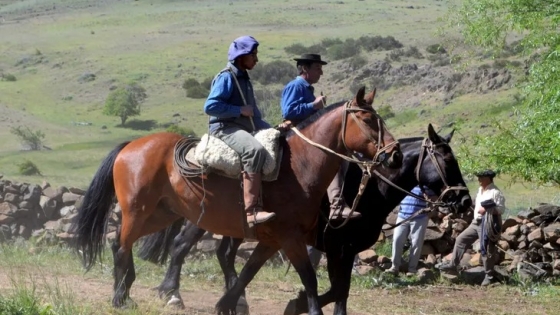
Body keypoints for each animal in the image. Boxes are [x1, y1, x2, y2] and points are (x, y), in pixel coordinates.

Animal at [71, 87, 402, 315]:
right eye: (368, 119)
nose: (394, 154)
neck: (300, 165)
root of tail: (132, 145)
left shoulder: (273, 240)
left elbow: (247, 273)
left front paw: (227, 303)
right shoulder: (293, 239)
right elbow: (311, 280)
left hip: (161, 214)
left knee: (125, 244)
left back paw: (134, 292)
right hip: (139, 212)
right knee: (124, 246)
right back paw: (122, 297)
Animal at [137, 123, 472, 315]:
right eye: (447, 160)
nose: (466, 202)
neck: (368, 191)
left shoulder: (342, 252)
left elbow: (339, 291)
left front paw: (295, 303)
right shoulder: (338, 250)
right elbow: (336, 290)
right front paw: (297, 303)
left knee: (225, 255)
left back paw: (235, 300)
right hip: (202, 222)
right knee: (181, 246)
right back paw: (172, 294)